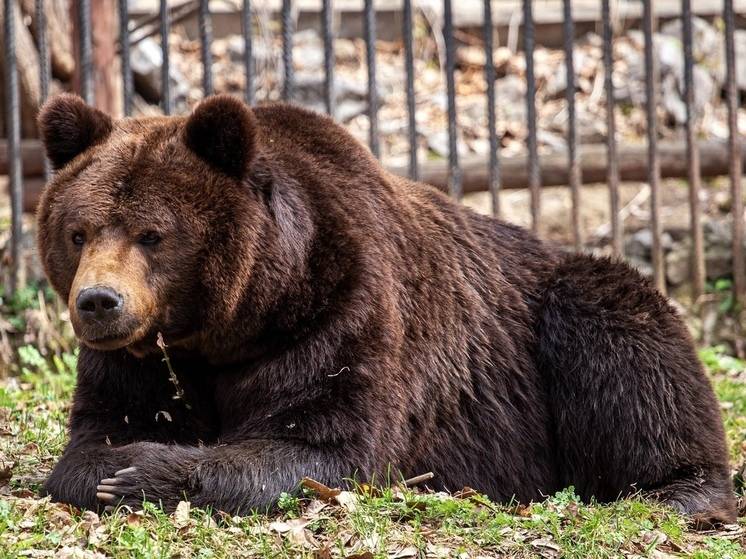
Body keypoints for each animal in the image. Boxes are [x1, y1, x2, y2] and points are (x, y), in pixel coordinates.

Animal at [35, 93, 732, 524]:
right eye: (79, 232)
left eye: (152, 234)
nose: (99, 302)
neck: (236, 321)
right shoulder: (147, 359)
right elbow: (97, 433)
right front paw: (112, 465)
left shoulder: (340, 311)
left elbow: (323, 445)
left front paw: (140, 473)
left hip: (567, 306)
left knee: (626, 346)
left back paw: (676, 492)